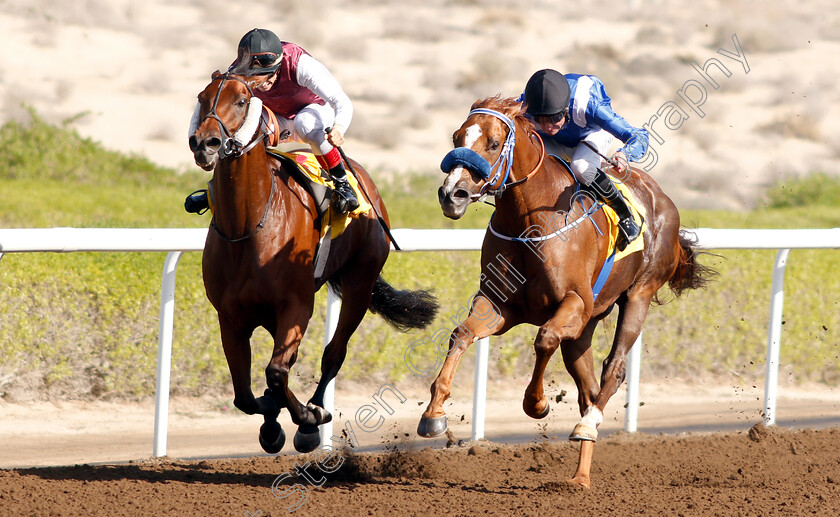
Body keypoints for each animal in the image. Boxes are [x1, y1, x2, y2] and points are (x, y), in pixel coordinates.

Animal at [189, 71, 440, 452]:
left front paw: (307, 418)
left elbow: (277, 372)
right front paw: (271, 420)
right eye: (202, 98)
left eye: (241, 100)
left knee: (333, 354)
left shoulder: (296, 306)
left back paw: (314, 413)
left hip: (359, 284)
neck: (247, 226)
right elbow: (244, 395)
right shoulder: (230, 317)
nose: (205, 143)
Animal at [424, 94, 712, 486]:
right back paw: (580, 476)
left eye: (494, 144)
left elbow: (544, 338)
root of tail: (663, 198)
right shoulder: (499, 306)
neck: (529, 221)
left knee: (613, 370)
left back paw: (587, 428)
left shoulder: (573, 303)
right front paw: (433, 414)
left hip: (638, 295)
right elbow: (462, 334)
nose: (451, 194)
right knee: (587, 390)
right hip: (584, 327)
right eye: (456, 138)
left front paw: (537, 403)